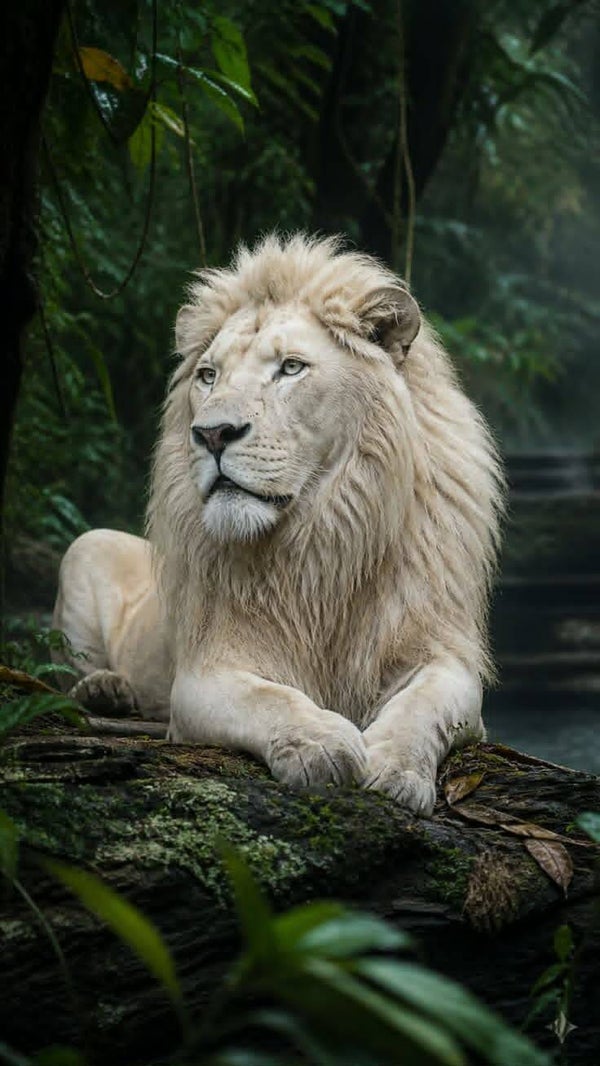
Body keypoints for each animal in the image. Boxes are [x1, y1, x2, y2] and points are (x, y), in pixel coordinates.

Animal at [53, 233, 504, 815]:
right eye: (208, 376)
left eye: (290, 368)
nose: (212, 434)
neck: (325, 534)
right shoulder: (205, 673)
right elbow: (269, 698)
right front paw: (321, 744)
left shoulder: (440, 654)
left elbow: (423, 707)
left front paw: (395, 770)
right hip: (86, 547)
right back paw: (104, 689)